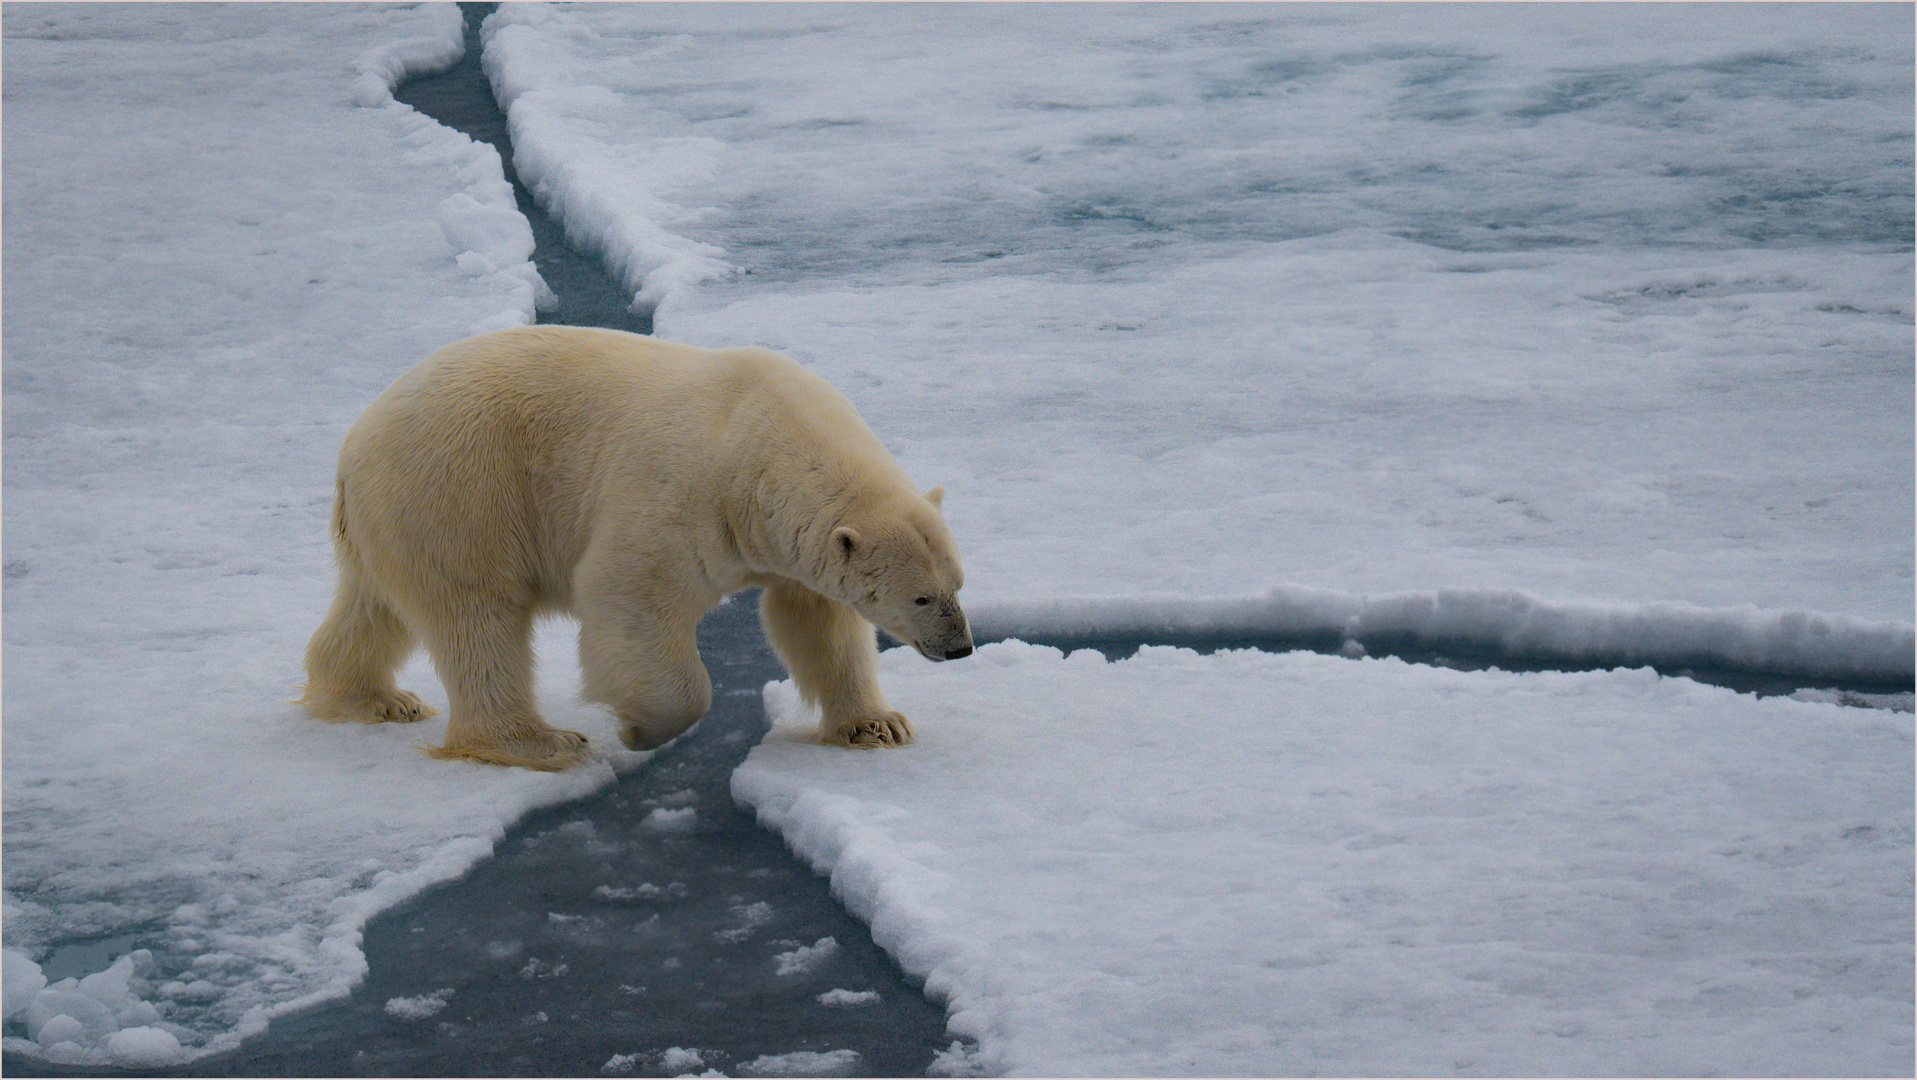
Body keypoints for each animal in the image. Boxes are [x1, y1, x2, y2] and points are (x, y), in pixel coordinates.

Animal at [299, 326, 973, 774]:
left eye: (958, 585)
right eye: (921, 597)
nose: (961, 647)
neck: (760, 439)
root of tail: (353, 445)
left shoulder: (786, 541)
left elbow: (816, 621)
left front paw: (878, 725)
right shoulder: (682, 493)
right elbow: (632, 599)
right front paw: (640, 728)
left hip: (395, 517)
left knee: (378, 607)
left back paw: (374, 699)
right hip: (460, 492)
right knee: (477, 618)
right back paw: (540, 741)